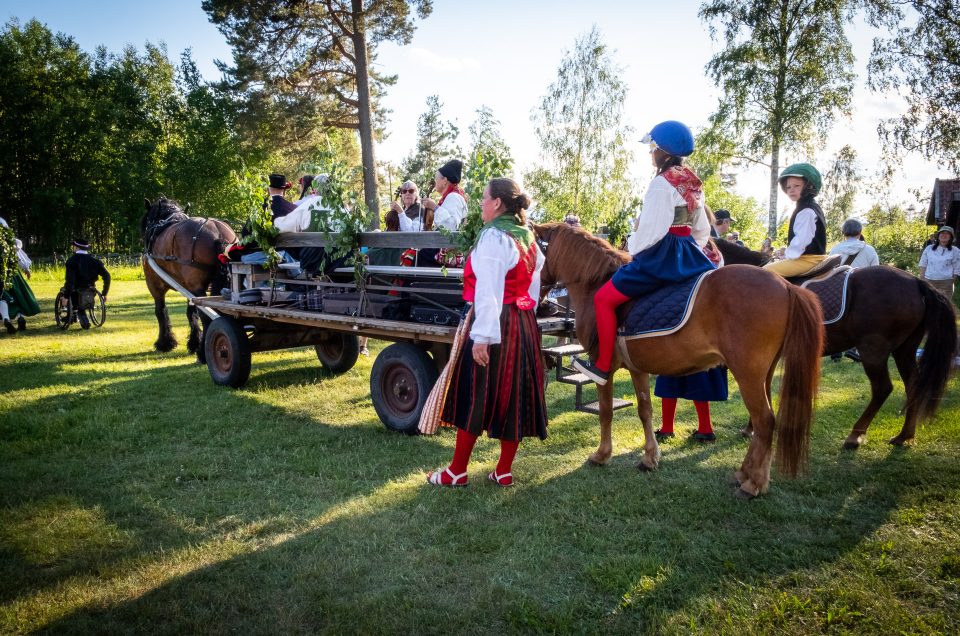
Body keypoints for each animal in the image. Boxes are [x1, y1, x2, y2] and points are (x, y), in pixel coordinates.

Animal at [141, 199, 238, 358]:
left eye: (147, 219)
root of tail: (218, 233)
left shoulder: (154, 284)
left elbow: (160, 311)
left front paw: (165, 343)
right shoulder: (187, 288)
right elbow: (191, 313)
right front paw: (194, 342)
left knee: (206, 314)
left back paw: (203, 353)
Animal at [532, 222, 824, 496]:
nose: (540, 304)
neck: (595, 284)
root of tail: (785, 285)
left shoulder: (602, 367)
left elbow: (605, 411)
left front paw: (602, 455)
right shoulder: (637, 369)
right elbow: (645, 410)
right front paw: (650, 458)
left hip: (747, 375)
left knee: (765, 421)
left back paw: (754, 485)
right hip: (763, 374)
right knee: (763, 422)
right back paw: (744, 473)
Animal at [716, 238, 956, 448]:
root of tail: (916, 282)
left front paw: (752, 428)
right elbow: (764, 387)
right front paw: (754, 427)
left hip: (873, 350)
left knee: (882, 388)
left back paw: (855, 435)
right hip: (904, 350)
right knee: (913, 385)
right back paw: (904, 435)